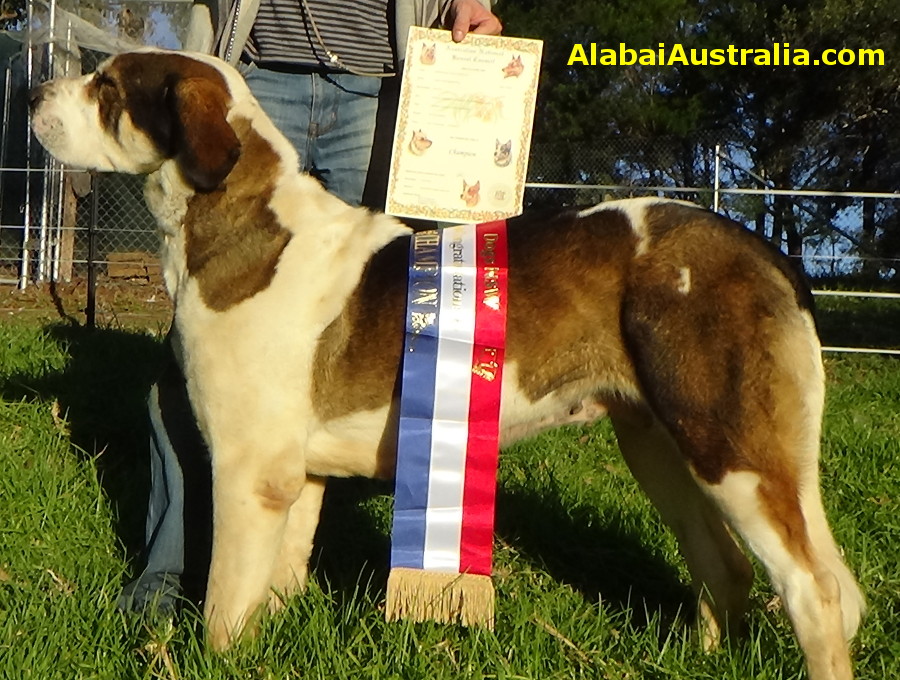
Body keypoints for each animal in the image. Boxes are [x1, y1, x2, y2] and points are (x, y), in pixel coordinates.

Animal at [31, 49, 864, 680]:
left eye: (107, 87)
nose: (36, 91)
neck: (244, 225)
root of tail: (761, 249)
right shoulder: (295, 479)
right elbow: (276, 582)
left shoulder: (247, 473)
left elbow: (225, 602)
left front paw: (220, 658)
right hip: (663, 447)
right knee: (726, 566)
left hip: (731, 447)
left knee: (812, 589)